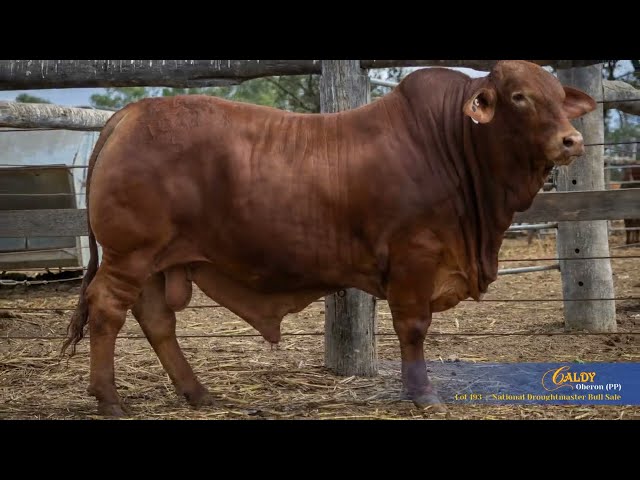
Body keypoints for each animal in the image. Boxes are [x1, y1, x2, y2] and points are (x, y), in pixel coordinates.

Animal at [62, 60, 596, 417]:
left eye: (557, 93)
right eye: (519, 96)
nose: (572, 140)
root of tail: (132, 113)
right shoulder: (415, 257)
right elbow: (413, 327)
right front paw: (423, 394)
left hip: (157, 261)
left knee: (156, 320)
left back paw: (197, 392)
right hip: (130, 254)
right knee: (107, 310)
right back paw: (110, 400)